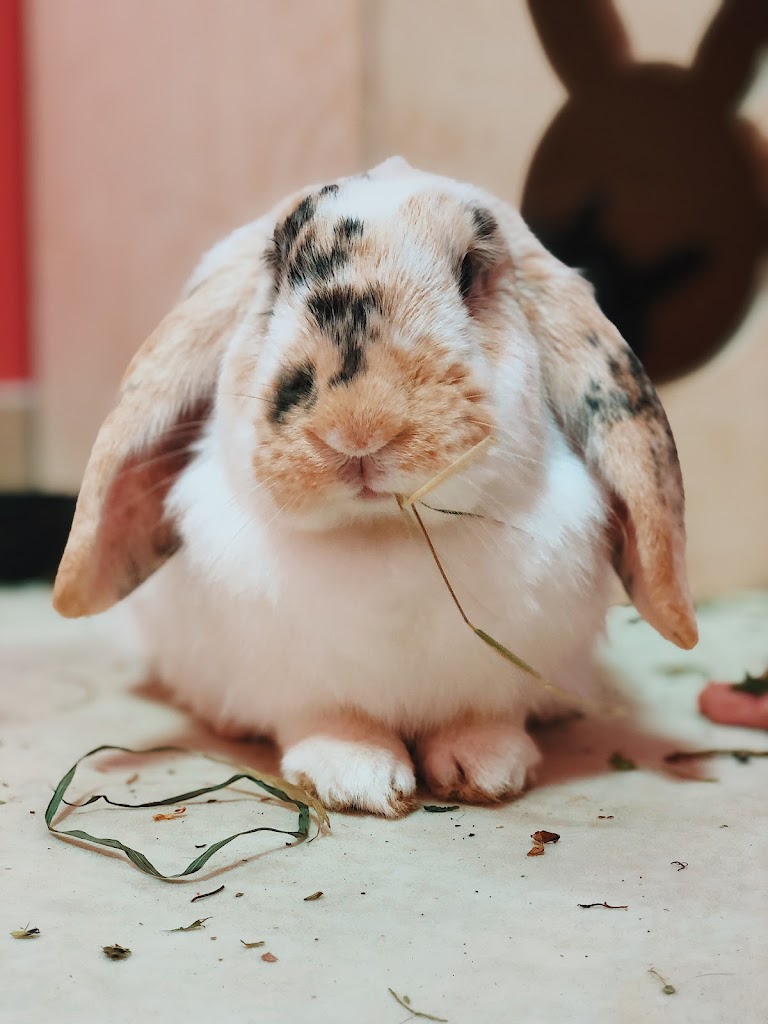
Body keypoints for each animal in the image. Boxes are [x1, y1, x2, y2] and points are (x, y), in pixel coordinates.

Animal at [53, 157, 698, 816]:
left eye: (470, 270)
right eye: (276, 272)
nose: (358, 427)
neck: (382, 538)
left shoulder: (493, 681)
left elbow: (482, 718)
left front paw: (487, 770)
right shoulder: (301, 687)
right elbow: (333, 721)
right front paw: (358, 780)